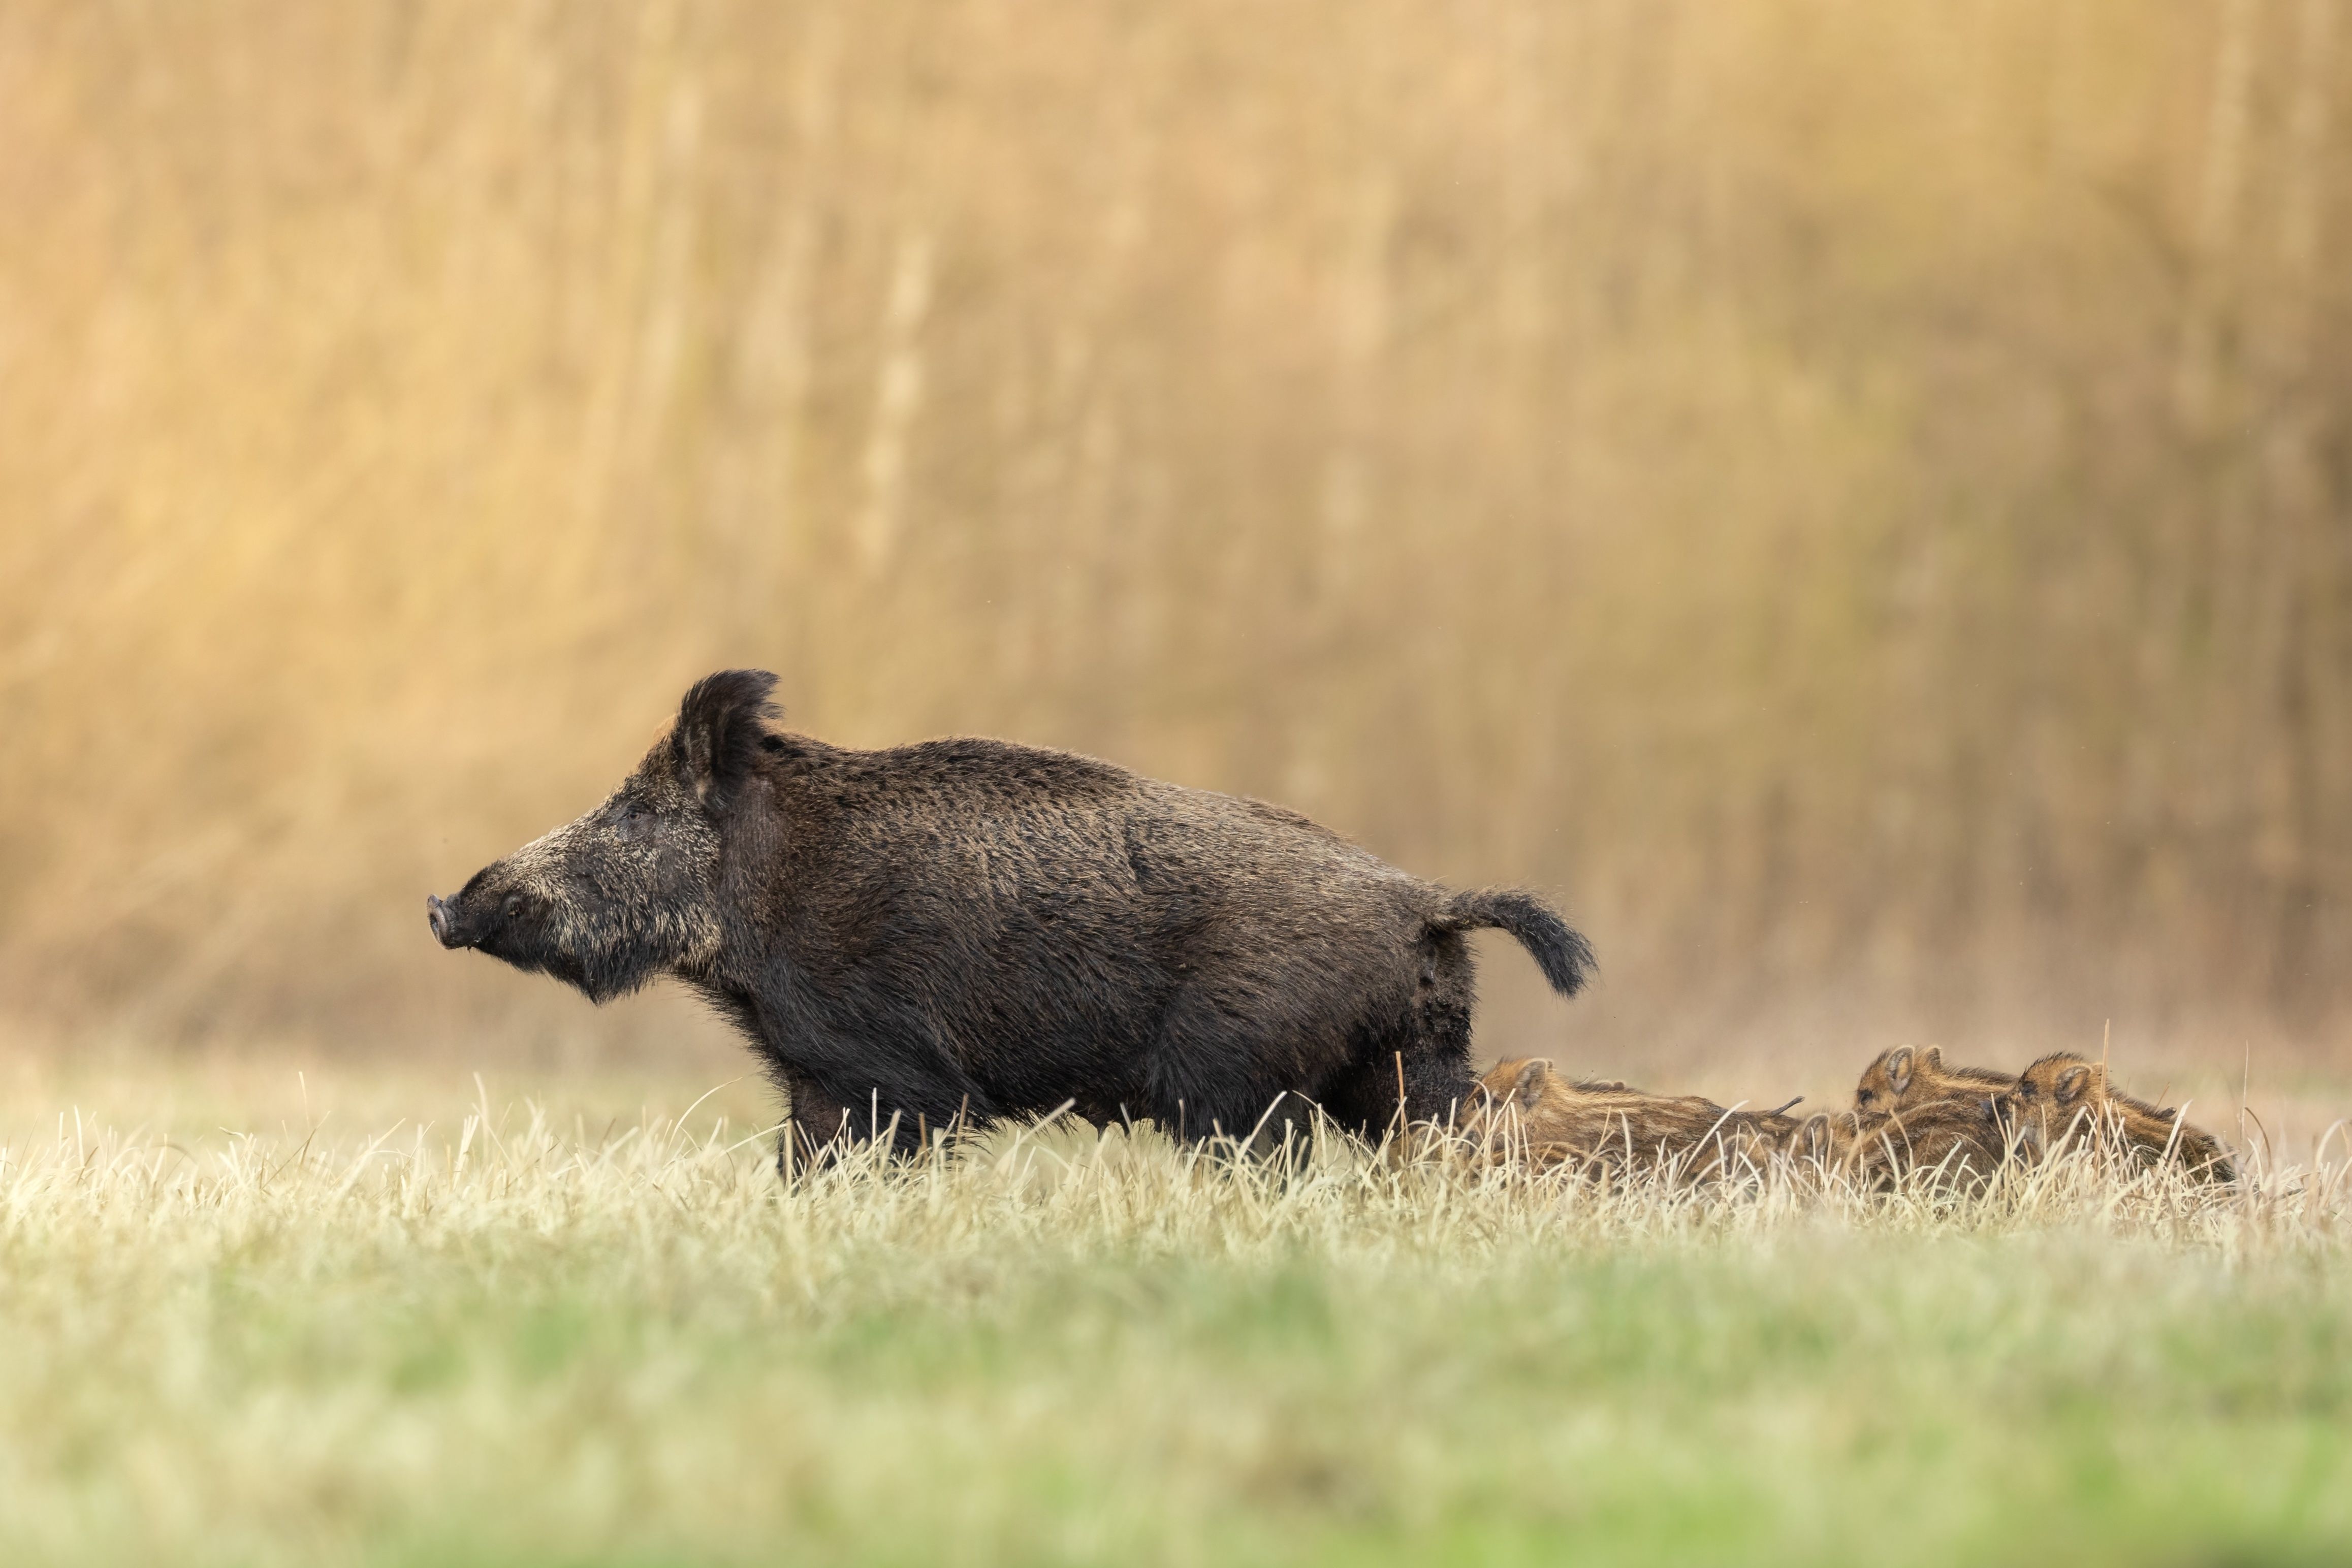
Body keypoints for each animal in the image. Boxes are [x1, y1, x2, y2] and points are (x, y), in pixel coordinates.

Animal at [428, 670, 1595, 1161]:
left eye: (633, 809)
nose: (444, 903)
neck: (766, 897)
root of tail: (1422, 901)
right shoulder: (815, 1075)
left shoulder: (892, 1074)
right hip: (1397, 1068)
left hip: (1238, 1079)